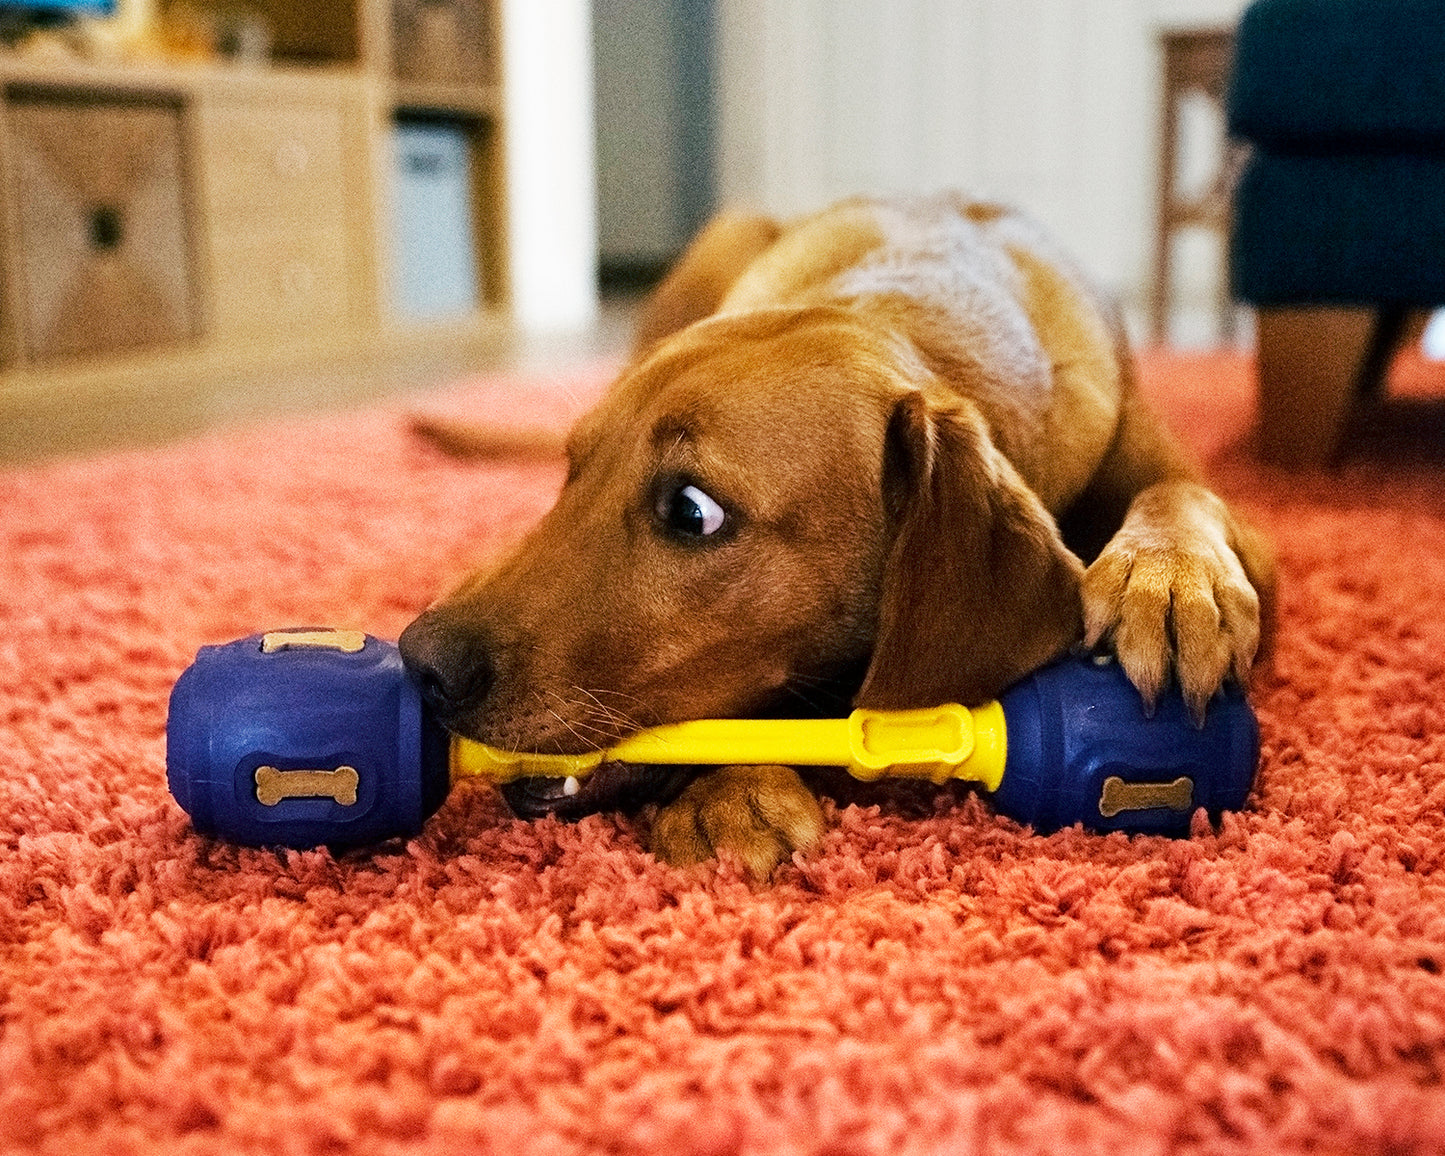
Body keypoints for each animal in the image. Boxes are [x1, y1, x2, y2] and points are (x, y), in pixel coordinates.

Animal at [398, 193, 1277, 878]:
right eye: (573, 471)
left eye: (690, 511)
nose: (420, 662)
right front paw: (731, 786)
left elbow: (1178, 493)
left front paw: (1165, 577)